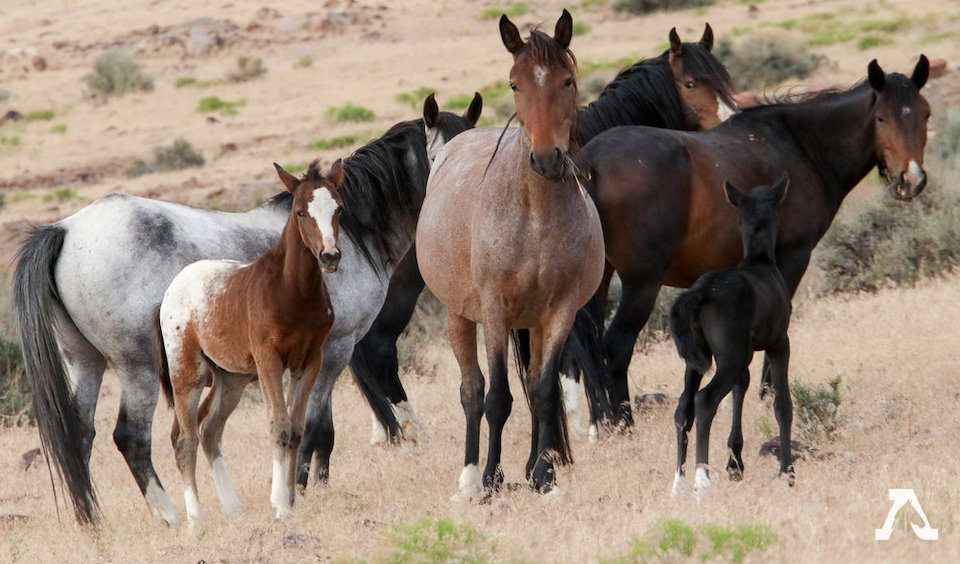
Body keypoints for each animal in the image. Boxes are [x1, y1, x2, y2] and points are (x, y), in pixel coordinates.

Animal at [158, 161, 343, 523]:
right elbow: (279, 425)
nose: (330, 256)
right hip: (187, 373)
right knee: (184, 439)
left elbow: (296, 429)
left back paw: (234, 510)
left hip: (231, 379)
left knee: (209, 430)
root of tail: (173, 288)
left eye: (339, 208)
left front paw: (291, 498)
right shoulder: (268, 358)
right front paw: (280, 505)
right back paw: (195, 520)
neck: (292, 292)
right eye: (300, 211)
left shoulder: (309, 361)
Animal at [357, 23, 736, 444]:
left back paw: (391, 432)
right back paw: (405, 433)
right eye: (690, 83)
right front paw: (597, 421)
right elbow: (585, 346)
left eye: (722, 75)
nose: (730, 117)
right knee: (376, 350)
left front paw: (581, 421)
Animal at [417, 10, 605, 497]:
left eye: (567, 80)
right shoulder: (494, 312)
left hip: (533, 323)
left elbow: (543, 391)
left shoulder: (559, 313)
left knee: (534, 383)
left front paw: (543, 475)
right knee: (471, 390)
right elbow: (496, 397)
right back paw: (468, 478)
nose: (547, 159)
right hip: (459, 316)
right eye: (515, 84)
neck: (535, 217)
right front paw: (490, 478)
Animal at [574, 55, 930, 428]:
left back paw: (603, 422)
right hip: (642, 283)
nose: (912, 180)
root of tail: (590, 162)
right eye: (881, 117)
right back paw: (624, 424)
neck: (803, 145)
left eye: (925, 114)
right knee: (616, 346)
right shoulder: (792, 257)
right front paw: (768, 392)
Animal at [669, 175, 793, 498]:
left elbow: (741, 388)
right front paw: (788, 472)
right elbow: (782, 404)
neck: (760, 261)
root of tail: (700, 294)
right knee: (704, 400)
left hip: (698, 360)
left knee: (683, 407)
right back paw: (702, 481)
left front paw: (735, 465)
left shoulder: (745, 355)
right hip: (729, 357)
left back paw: (678, 483)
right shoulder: (779, 343)